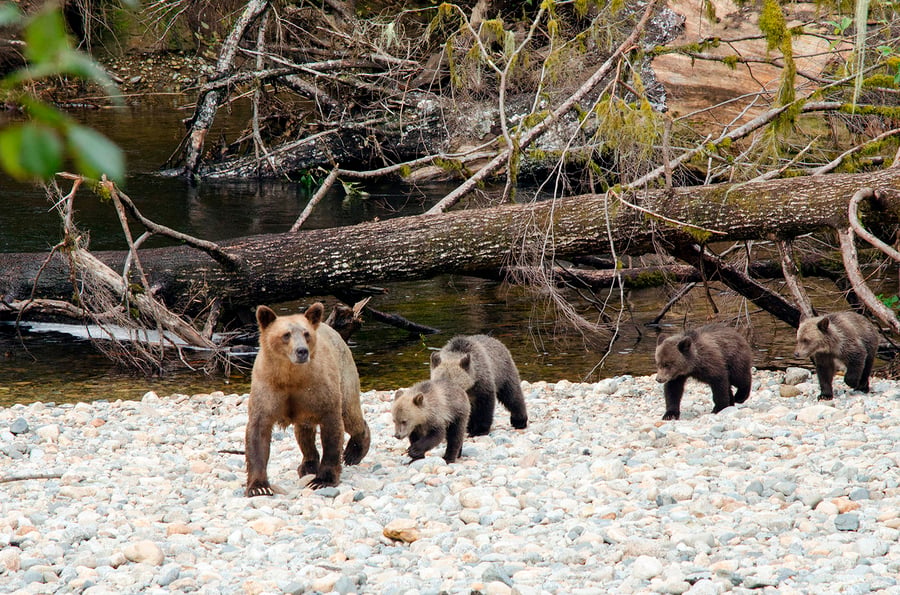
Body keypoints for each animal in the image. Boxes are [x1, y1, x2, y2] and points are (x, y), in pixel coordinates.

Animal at [244, 302, 371, 496]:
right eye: (286, 334)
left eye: (306, 334)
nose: (301, 351)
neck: (291, 377)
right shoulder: (267, 389)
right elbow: (258, 433)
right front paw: (259, 486)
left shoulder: (320, 390)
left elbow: (333, 430)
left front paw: (322, 480)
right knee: (304, 432)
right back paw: (308, 464)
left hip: (344, 375)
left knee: (350, 414)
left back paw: (354, 451)